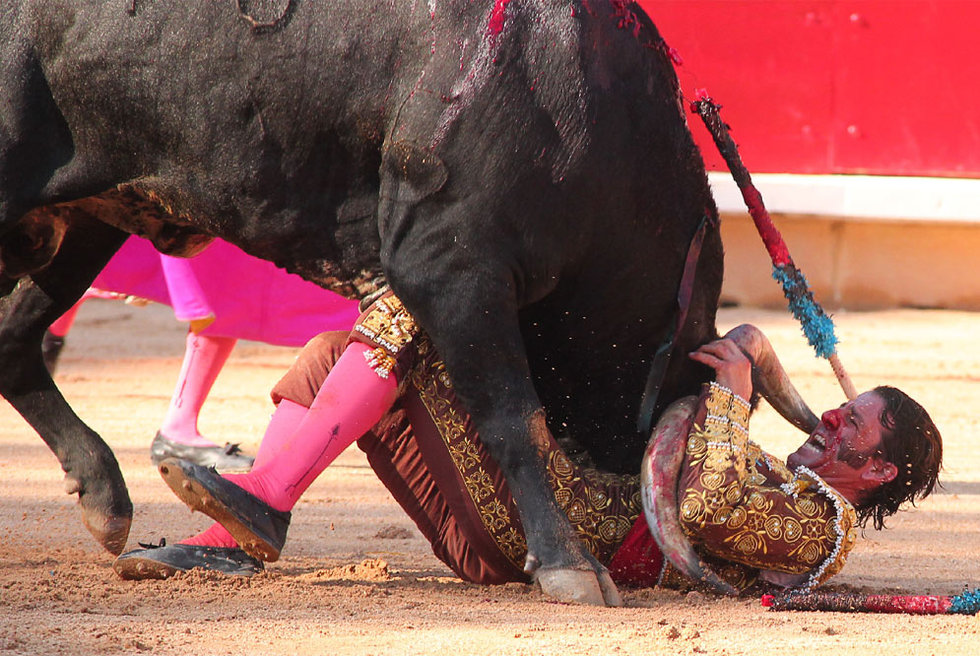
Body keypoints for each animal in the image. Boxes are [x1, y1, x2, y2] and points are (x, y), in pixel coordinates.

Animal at [0, 0, 720, 604]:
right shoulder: (448, 263)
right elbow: (513, 416)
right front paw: (571, 566)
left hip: (84, 219)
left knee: (15, 344)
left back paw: (113, 501)